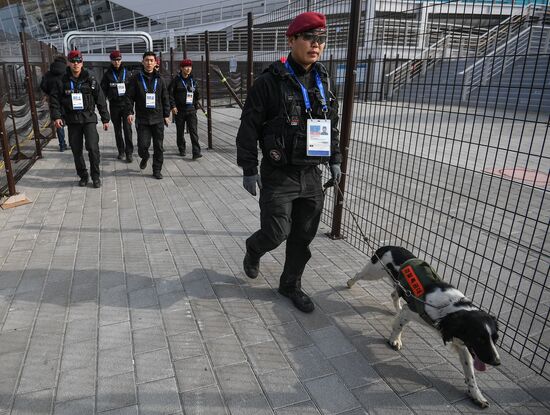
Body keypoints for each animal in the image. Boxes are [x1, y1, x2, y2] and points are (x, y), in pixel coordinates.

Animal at [352, 245, 502, 408]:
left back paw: (396, 308)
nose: (497, 362)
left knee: (394, 295)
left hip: (398, 285)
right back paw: (349, 283)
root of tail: (389, 246)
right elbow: (398, 326)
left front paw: (477, 395)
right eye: (479, 338)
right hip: (374, 272)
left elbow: (470, 373)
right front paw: (395, 340)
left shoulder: (462, 343)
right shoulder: (411, 311)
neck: (450, 308)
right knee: (358, 274)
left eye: (495, 338)